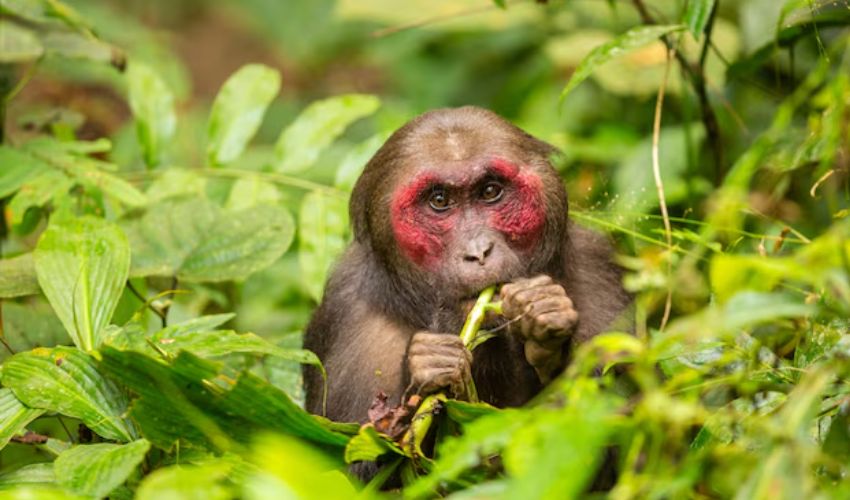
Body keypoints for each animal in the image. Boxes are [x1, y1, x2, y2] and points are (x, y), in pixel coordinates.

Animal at [303, 106, 630, 426]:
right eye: (439, 200)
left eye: (490, 191)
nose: (478, 251)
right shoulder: (352, 328)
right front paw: (427, 365)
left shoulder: (599, 272)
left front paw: (544, 321)